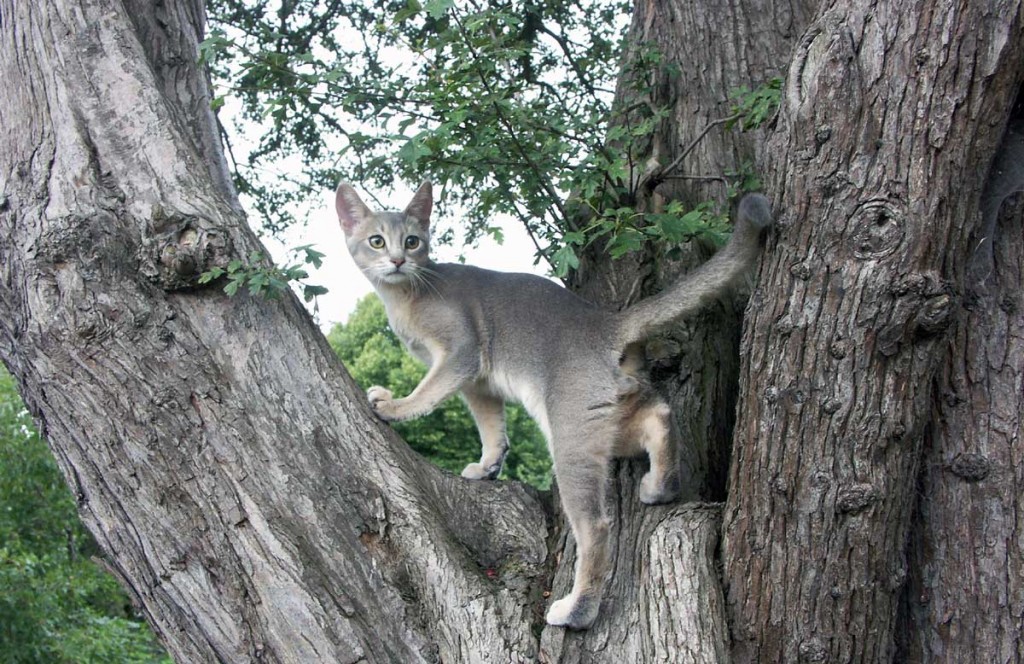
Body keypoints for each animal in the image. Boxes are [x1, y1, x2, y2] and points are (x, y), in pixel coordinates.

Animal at [337, 181, 774, 627]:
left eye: (412, 241)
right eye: (376, 241)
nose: (396, 260)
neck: (407, 293)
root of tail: (604, 323)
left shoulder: (461, 354)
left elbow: (428, 393)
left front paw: (396, 406)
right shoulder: (479, 384)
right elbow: (492, 427)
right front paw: (488, 465)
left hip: (572, 435)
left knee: (596, 527)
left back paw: (578, 610)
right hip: (609, 416)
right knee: (660, 414)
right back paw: (660, 485)